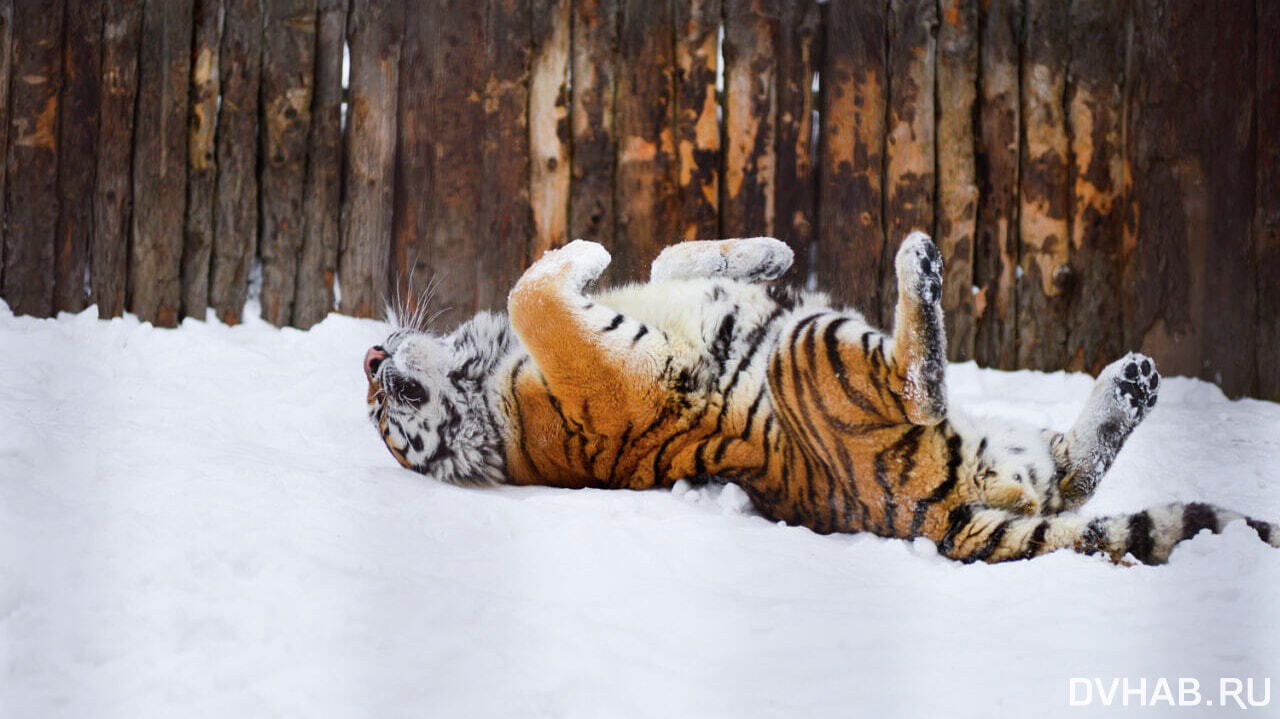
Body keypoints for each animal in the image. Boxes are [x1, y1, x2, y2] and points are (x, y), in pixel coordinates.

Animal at [363, 232, 1280, 562]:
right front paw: (582, 247)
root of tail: (930, 516)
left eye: (383, 395)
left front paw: (764, 252)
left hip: (1003, 445)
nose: (371, 355)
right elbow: (530, 287)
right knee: (921, 381)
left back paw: (1132, 383)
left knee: (1070, 472)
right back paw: (921, 266)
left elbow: (667, 262)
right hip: (813, 348)